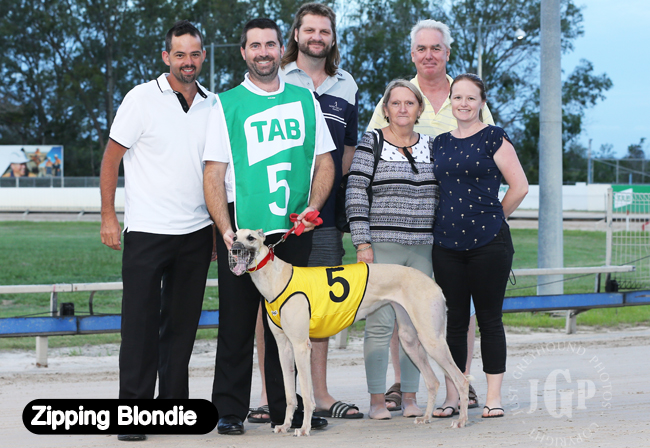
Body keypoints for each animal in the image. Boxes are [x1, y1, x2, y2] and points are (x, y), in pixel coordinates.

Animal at [228, 229, 469, 436]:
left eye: (251, 238)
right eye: (234, 236)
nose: (234, 249)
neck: (277, 278)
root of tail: (433, 283)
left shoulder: (301, 345)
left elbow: (306, 393)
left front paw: (304, 428)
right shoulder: (284, 347)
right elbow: (289, 395)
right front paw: (285, 425)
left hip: (431, 340)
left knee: (461, 379)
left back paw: (461, 420)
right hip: (410, 339)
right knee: (433, 381)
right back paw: (426, 417)